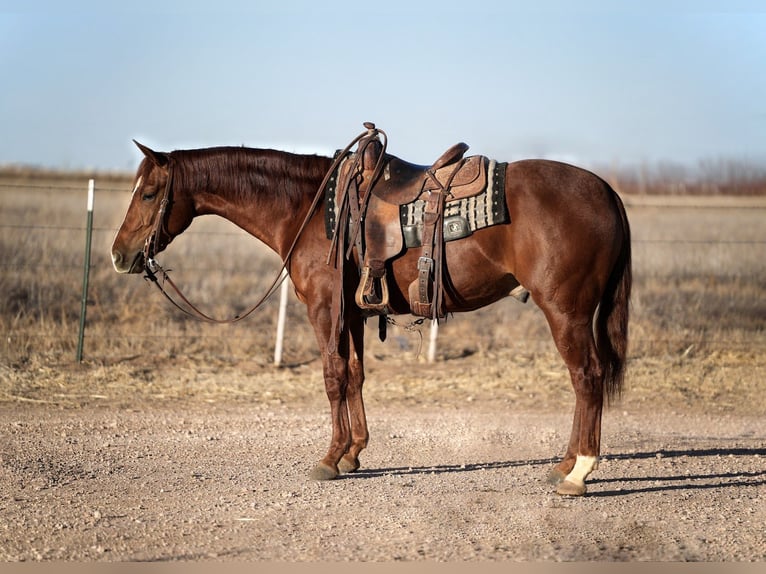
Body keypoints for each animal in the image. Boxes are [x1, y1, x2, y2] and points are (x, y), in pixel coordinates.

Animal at [111, 131, 631, 496]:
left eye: (149, 193)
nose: (119, 255)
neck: (310, 209)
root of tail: (606, 191)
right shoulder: (355, 313)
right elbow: (356, 375)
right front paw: (353, 453)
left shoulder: (325, 309)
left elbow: (333, 376)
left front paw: (329, 458)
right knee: (587, 379)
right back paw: (564, 465)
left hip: (566, 312)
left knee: (586, 377)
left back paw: (579, 472)